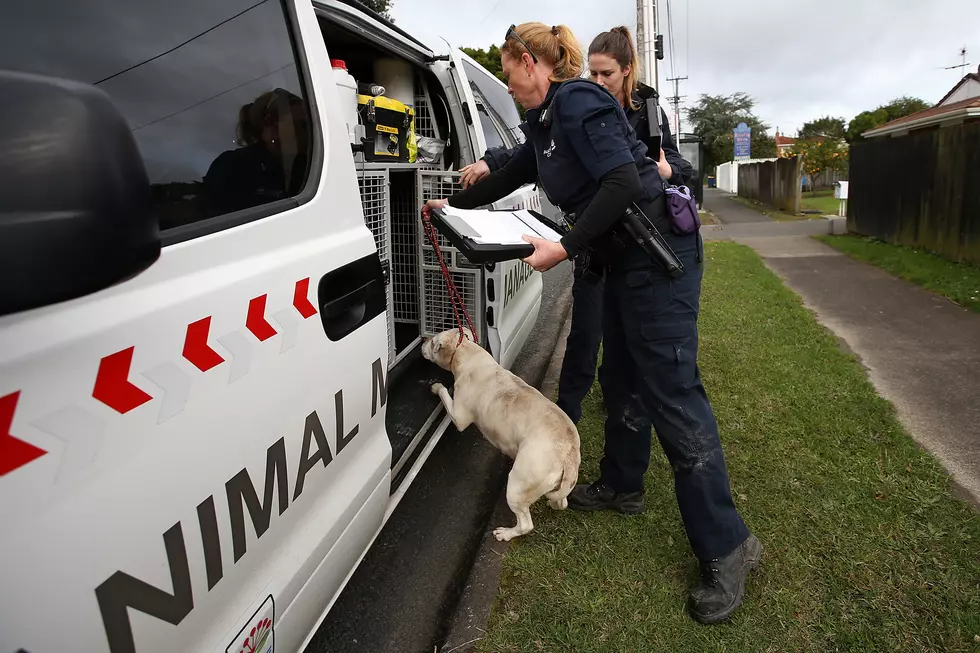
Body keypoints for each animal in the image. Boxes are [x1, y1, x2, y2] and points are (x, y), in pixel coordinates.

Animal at [424, 326, 580, 540]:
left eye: (433, 342)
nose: (423, 343)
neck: (466, 350)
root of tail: (569, 452)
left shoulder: (459, 415)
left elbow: (444, 395)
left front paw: (437, 387)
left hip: (517, 484)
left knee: (525, 524)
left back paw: (505, 533)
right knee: (561, 502)